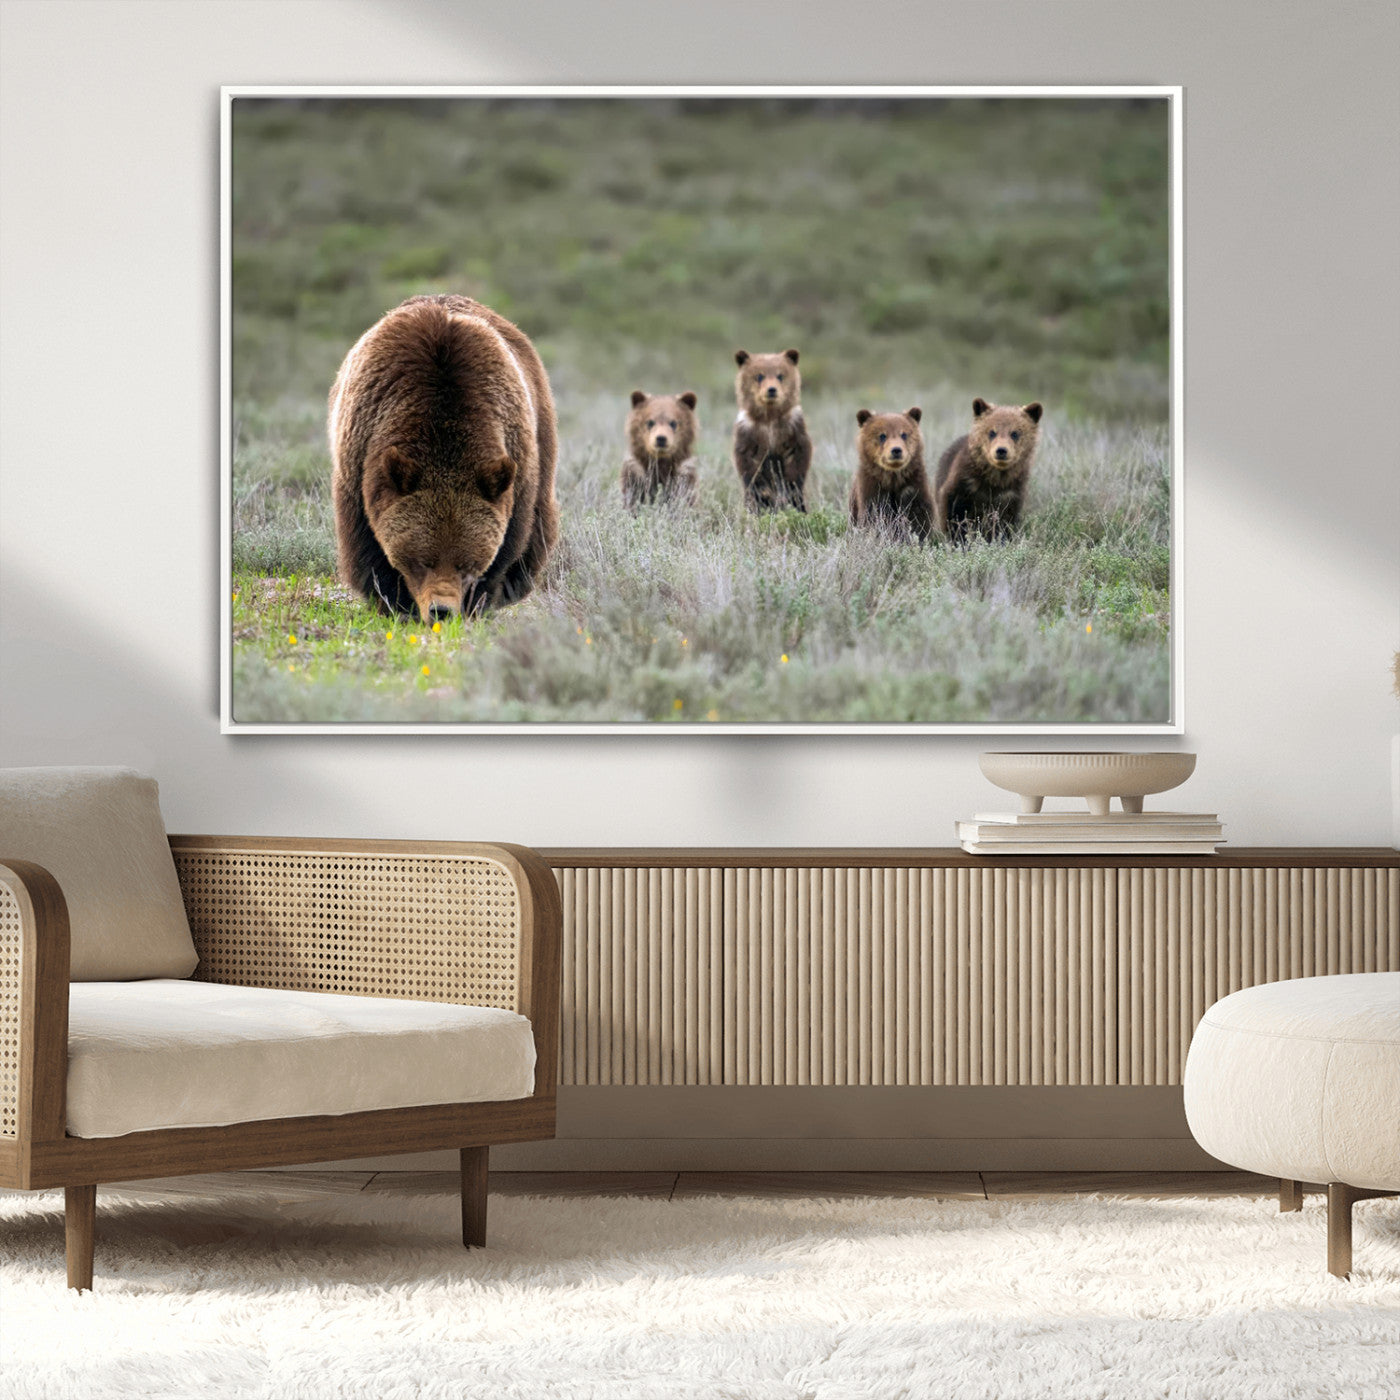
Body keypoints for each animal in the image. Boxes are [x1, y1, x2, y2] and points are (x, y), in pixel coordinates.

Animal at [328, 293, 559, 619]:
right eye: (423, 560)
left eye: (467, 563)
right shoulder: (360, 458)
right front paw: (394, 601)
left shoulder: (516, 462)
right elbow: (366, 545)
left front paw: (478, 602)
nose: (442, 610)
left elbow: (509, 542)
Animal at [732, 348, 812, 512]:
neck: (769, 419)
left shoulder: (793, 428)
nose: (771, 390)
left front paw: (789, 490)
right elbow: (749, 465)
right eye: (759, 375)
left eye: (780, 375)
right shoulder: (749, 432)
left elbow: (797, 459)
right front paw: (764, 494)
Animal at [848, 407, 934, 541]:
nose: (896, 450)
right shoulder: (872, 489)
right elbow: (873, 517)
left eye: (904, 434)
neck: (893, 478)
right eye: (882, 435)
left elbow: (919, 518)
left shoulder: (914, 486)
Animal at [933, 398, 1043, 543]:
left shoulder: (1011, 492)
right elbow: (954, 514)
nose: (1001, 450)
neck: (994, 479)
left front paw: (1000, 539)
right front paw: (959, 539)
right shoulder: (964, 484)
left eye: (1015, 433)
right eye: (992, 432)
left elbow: (1006, 521)